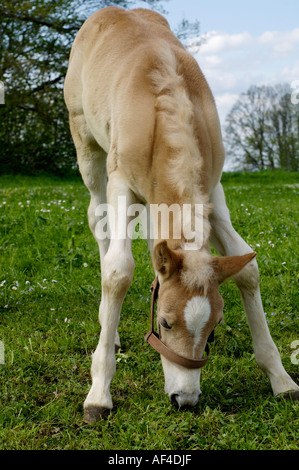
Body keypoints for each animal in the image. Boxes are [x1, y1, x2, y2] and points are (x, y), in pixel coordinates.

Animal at [64, 5, 298, 424]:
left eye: (213, 330)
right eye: (164, 323)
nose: (184, 400)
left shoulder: (213, 192)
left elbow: (248, 267)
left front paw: (281, 379)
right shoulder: (121, 181)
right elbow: (118, 272)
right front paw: (98, 395)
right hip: (87, 146)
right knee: (98, 221)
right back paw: (110, 326)